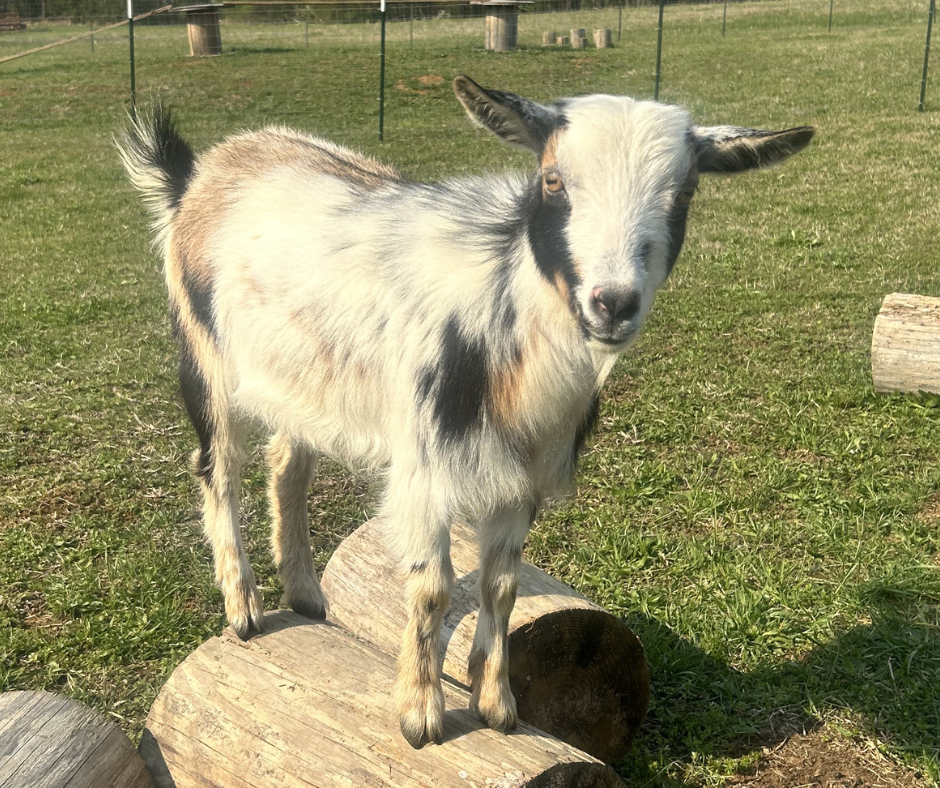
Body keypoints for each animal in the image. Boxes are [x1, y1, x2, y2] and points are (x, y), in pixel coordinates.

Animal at [118, 76, 813, 748]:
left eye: (686, 190)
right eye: (552, 179)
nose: (612, 303)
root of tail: (200, 175)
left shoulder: (522, 474)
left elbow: (500, 585)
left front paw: (496, 704)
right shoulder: (424, 467)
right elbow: (432, 588)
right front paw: (419, 717)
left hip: (302, 380)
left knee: (287, 461)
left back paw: (307, 595)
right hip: (204, 354)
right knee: (217, 468)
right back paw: (243, 610)